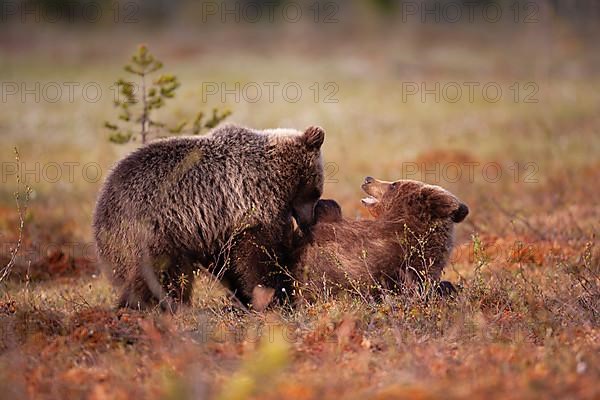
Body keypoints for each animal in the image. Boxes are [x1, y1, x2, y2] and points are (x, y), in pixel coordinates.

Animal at [94, 123, 326, 310]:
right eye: (316, 192)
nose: (308, 221)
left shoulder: (218, 227)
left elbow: (229, 262)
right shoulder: (250, 203)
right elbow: (258, 258)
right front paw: (275, 296)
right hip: (153, 233)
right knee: (162, 275)